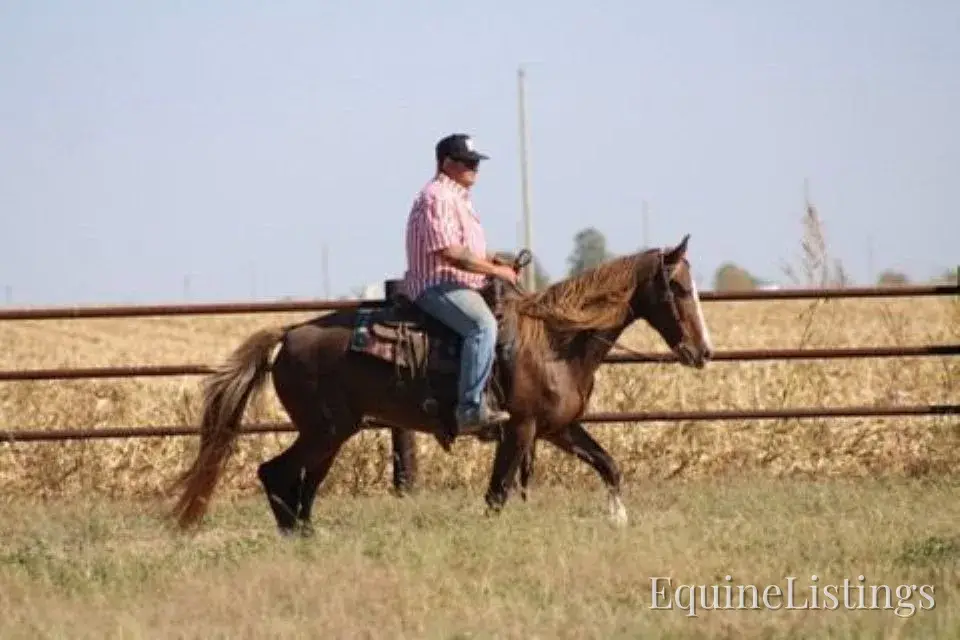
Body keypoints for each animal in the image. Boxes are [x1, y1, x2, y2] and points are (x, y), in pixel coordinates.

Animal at [170, 234, 714, 534]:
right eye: (679, 287)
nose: (703, 351)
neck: (554, 341)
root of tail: (289, 334)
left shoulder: (556, 428)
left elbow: (609, 464)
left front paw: (618, 519)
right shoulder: (519, 429)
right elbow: (497, 494)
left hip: (331, 433)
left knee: (302, 482)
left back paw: (307, 537)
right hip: (323, 430)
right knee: (276, 473)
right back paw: (295, 538)